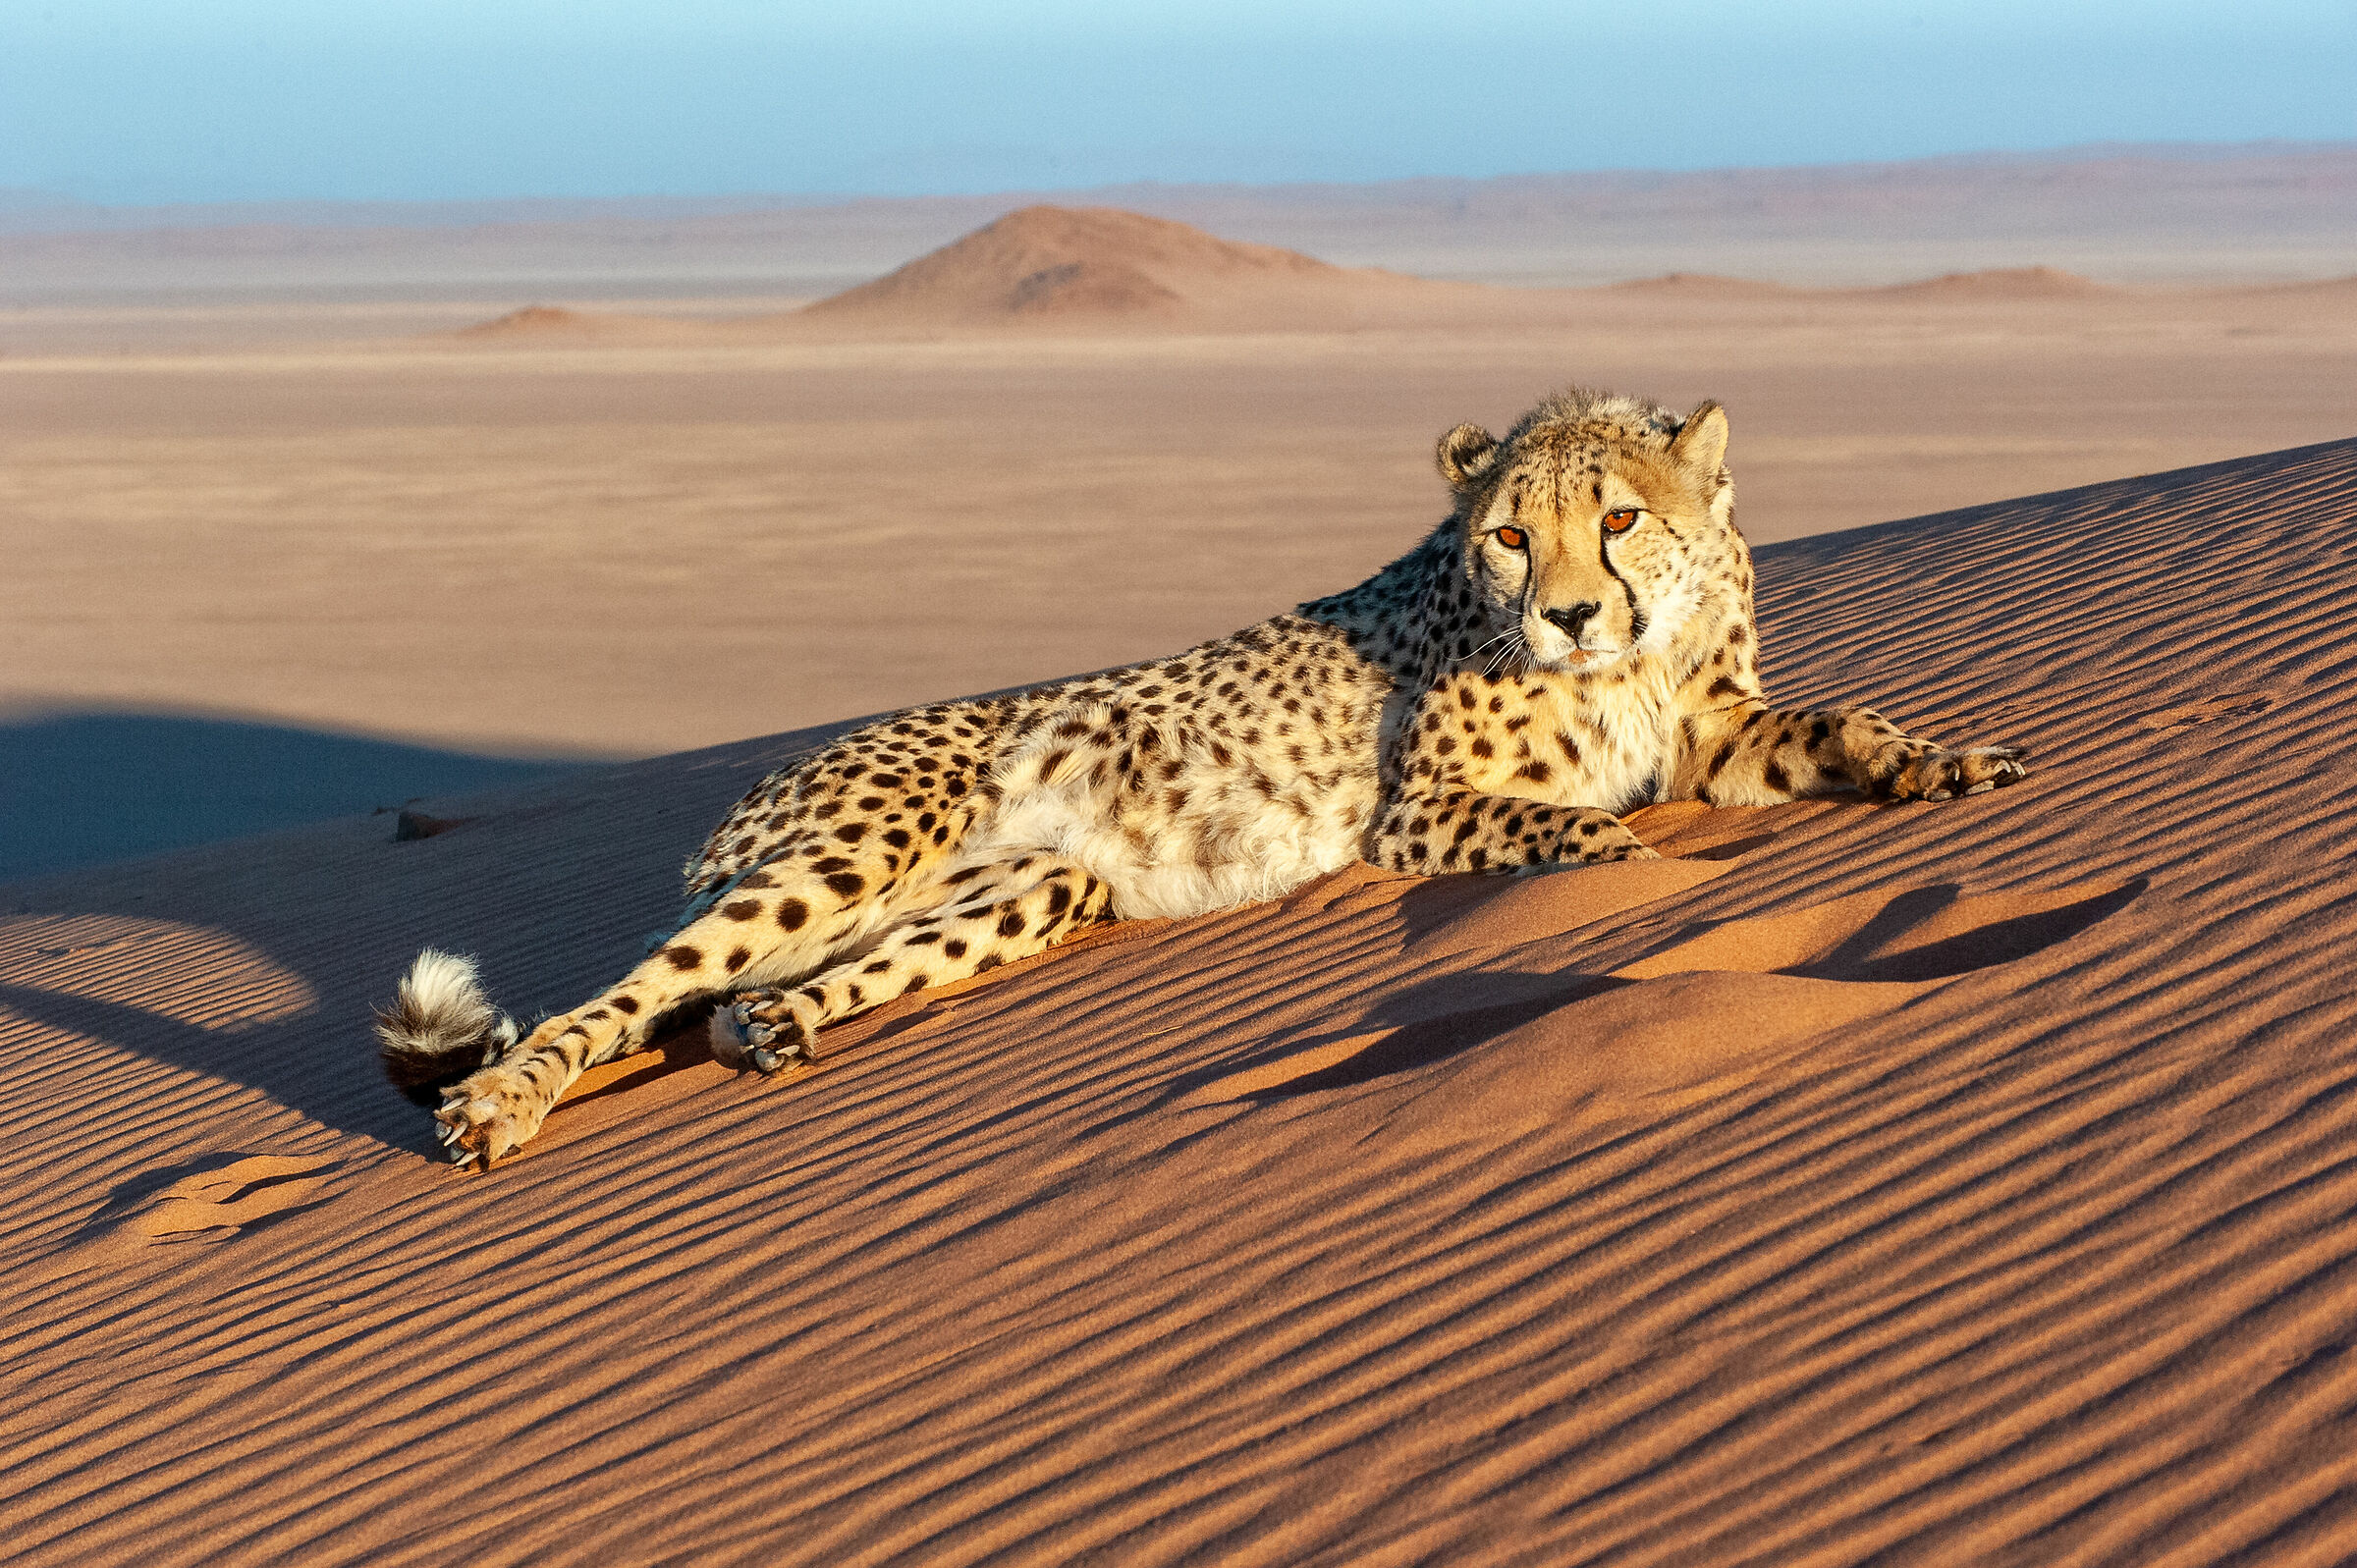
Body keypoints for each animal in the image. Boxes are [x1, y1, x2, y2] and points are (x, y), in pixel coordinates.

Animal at [378, 387, 2027, 1169]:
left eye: (1620, 519)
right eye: (1510, 534)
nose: (1567, 612)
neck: (1627, 657)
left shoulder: (1715, 733)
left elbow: (1834, 727)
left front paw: (1943, 760)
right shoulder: (1425, 808)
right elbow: (1583, 835)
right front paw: (1642, 877)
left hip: (1030, 890)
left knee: (741, 992)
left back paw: (770, 1027)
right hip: (850, 852)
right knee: (615, 997)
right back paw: (501, 1108)